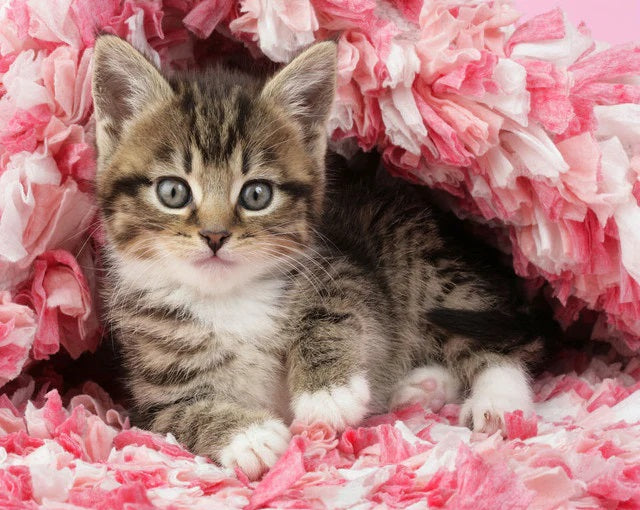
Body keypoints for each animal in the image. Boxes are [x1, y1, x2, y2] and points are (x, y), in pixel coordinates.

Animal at [92, 36, 550, 480]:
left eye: (256, 194)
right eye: (173, 191)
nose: (215, 235)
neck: (228, 299)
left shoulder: (346, 270)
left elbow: (331, 311)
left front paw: (328, 392)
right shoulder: (149, 396)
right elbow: (180, 415)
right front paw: (249, 437)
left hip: (420, 259)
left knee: (492, 335)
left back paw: (499, 402)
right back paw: (421, 387)